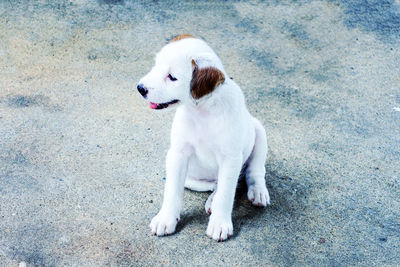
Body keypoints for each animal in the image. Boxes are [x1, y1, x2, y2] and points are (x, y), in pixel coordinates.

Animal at [138, 34, 272, 243]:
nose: (140, 88)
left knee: (252, 172)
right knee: (217, 184)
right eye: (156, 65)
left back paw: (257, 191)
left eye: (172, 77)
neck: (202, 111)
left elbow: (226, 194)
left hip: (258, 131)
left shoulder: (230, 159)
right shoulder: (178, 154)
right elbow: (172, 192)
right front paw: (166, 219)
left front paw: (220, 223)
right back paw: (212, 199)